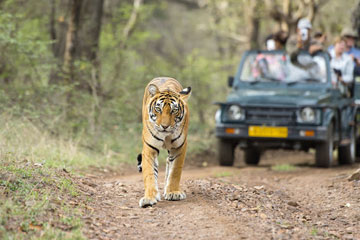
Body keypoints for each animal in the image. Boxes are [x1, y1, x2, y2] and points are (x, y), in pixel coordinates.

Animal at [138, 77, 191, 208]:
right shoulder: (149, 148)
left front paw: (173, 192)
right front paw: (149, 198)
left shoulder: (179, 147)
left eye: (174, 110)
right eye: (158, 109)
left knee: (168, 163)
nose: (165, 126)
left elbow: (175, 171)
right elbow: (150, 174)